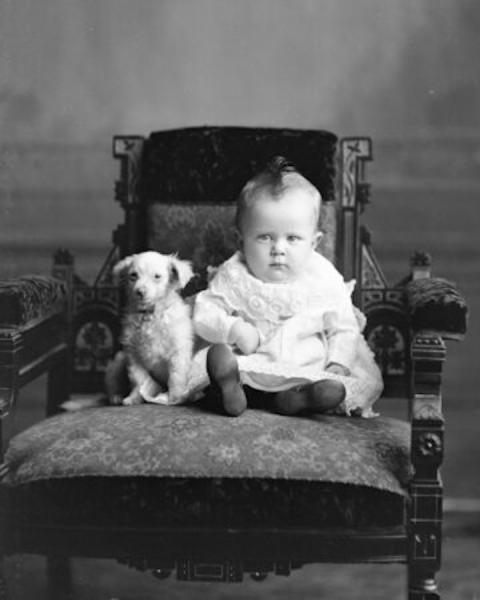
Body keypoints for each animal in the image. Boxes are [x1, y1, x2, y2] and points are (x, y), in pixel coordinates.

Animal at [111, 248, 194, 408]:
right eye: (133, 275)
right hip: (117, 363)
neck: (149, 314)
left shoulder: (178, 352)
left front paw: (176, 397)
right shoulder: (133, 356)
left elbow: (176, 377)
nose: (139, 292)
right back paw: (116, 396)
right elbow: (140, 380)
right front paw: (135, 398)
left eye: (157, 277)